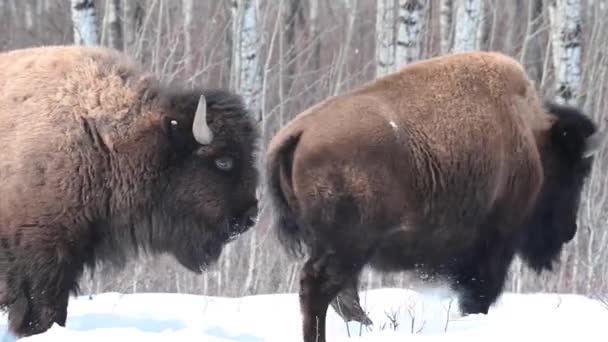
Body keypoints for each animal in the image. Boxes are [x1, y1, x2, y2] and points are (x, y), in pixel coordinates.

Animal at [266, 51, 604, 342]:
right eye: (575, 173)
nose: (569, 230)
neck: (532, 138)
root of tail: (299, 131)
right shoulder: (493, 246)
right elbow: (479, 295)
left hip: (341, 249)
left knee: (342, 297)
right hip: (347, 246)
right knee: (319, 289)